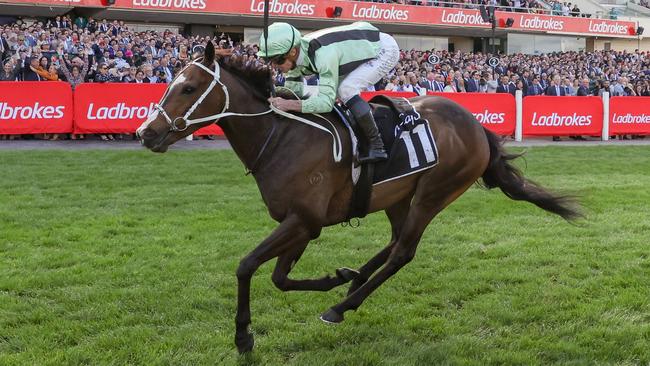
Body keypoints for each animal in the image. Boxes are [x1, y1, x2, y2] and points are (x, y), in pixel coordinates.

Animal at [135, 41, 576, 354]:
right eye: (170, 83)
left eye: (188, 87)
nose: (146, 133)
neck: (282, 138)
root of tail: (475, 124)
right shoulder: (302, 224)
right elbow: (279, 278)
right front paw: (336, 277)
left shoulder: (304, 220)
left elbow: (247, 266)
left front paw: (243, 337)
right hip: (400, 196)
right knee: (394, 241)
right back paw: (353, 282)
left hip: (434, 193)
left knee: (403, 252)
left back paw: (341, 306)